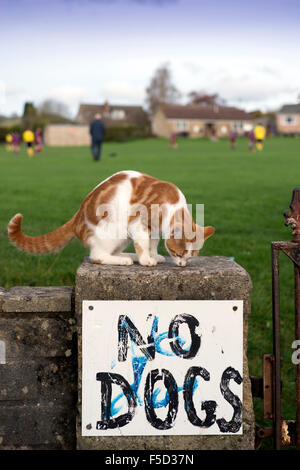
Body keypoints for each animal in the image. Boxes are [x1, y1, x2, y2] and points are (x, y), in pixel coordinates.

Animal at [8, 172, 214, 268]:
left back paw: (127, 256)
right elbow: (143, 243)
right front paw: (147, 260)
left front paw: (153, 255)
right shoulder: (138, 224)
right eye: (179, 254)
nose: (181, 265)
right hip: (115, 230)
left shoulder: (154, 228)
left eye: (189, 257)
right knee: (97, 255)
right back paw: (126, 260)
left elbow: (152, 243)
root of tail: (76, 218)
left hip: (122, 238)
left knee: (112, 252)